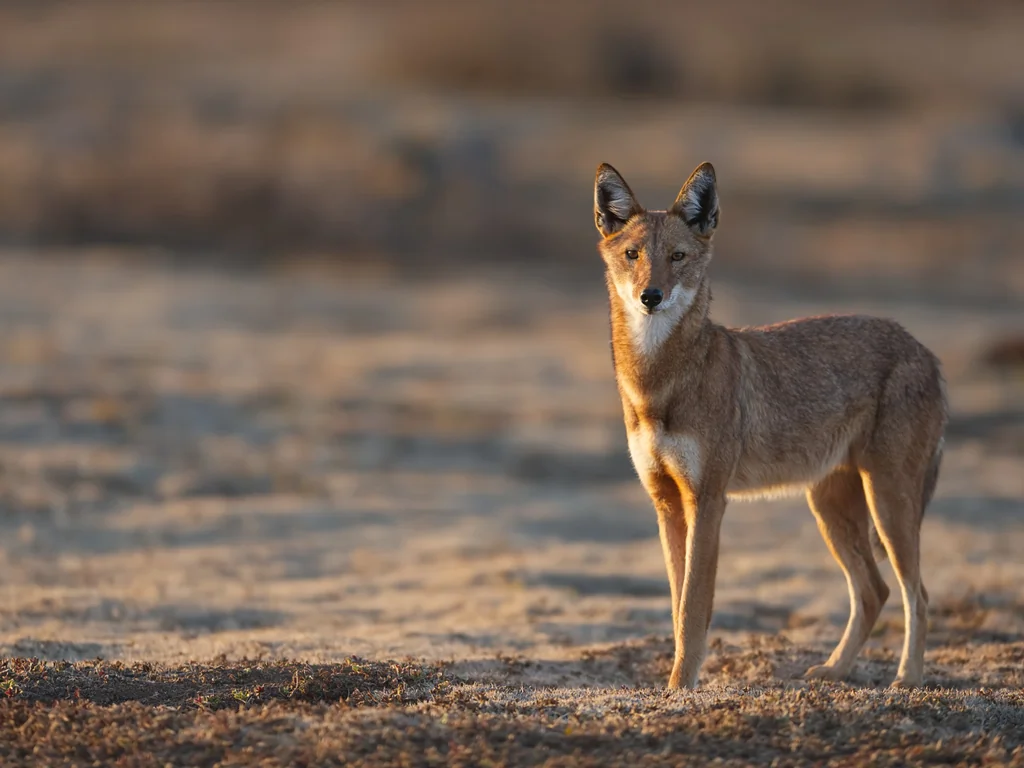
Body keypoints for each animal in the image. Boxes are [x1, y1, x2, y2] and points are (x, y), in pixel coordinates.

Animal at [594, 162, 947, 689]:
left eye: (677, 257)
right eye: (632, 255)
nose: (650, 296)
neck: (658, 386)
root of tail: (924, 350)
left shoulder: (709, 501)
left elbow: (692, 608)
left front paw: (681, 686)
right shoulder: (667, 503)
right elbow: (677, 605)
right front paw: (678, 682)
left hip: (887, 505)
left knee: (917, 595)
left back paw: (907, 679)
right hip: (830, 509)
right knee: (874, 591)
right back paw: (835, 670)